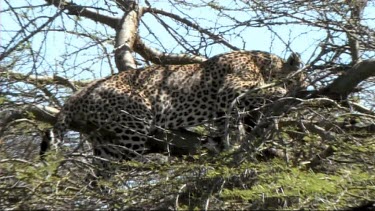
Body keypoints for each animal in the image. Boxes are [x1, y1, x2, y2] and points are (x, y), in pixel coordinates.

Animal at [41, 49, 306, 175]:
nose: (303, 91)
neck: (264, 63)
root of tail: (76, 96)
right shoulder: (231, 89)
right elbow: (261, 90)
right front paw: (282, 91)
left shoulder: (224, 108)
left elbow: (228, 125)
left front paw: (227, 141)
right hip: (136, 120)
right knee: (123, 157)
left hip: (102, 141)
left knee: (97, 173)